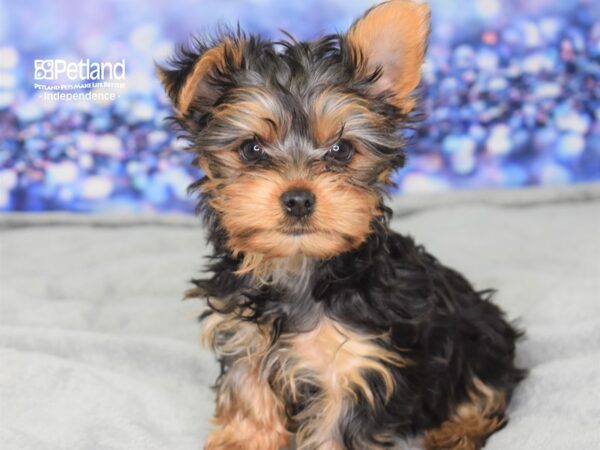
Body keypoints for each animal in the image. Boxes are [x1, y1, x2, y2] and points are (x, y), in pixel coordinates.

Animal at [159, 0, 524, 450]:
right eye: (251, 149)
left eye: (341, 150)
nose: (298, 198)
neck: (299, 269)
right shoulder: (248, 340)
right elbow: (249, 400)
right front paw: (245, 438)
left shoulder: (357, 366)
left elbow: (336, 432)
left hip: (481, 337)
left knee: (489, 391)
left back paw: (456, 431)